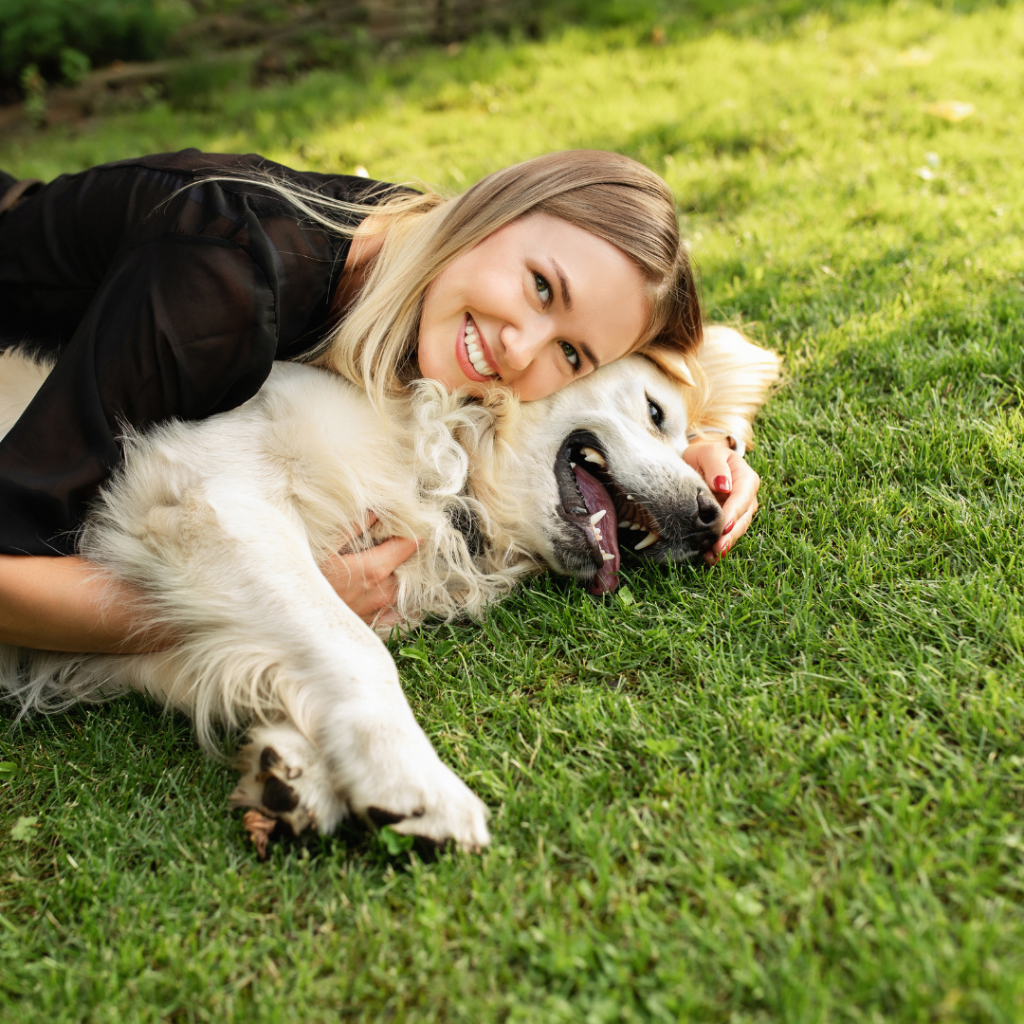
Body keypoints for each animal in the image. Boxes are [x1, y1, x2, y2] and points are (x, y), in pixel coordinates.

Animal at [0, 325, 774, 847]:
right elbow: (351, 649)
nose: (709, 517)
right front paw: (410, 780)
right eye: (656, 413)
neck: (447, 458)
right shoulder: (209, 503)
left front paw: (297, 774)